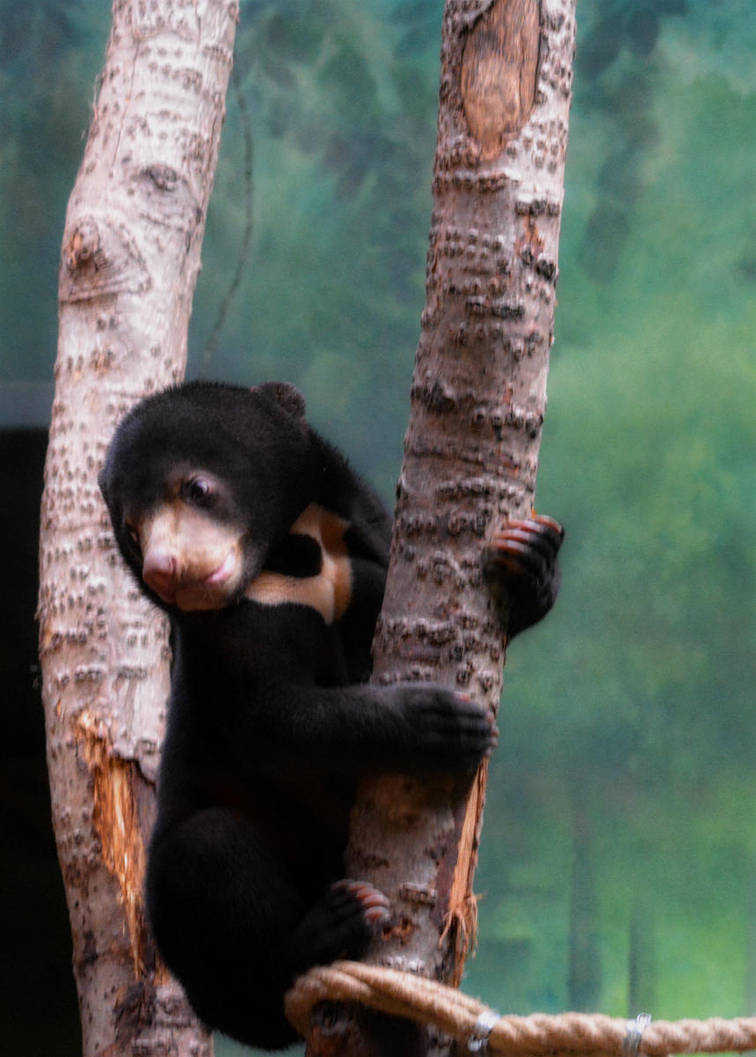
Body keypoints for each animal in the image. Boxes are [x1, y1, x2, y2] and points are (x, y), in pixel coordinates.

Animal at [98, 380, 563, 1049]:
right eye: (131, 531)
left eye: (197, 488)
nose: (168, 571)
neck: (296, 549)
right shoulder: (235, 631)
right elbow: (273, 718)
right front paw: (440, 722)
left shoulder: (364, 547)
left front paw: (528, 554)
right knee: (208, 856)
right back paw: (331, 926)